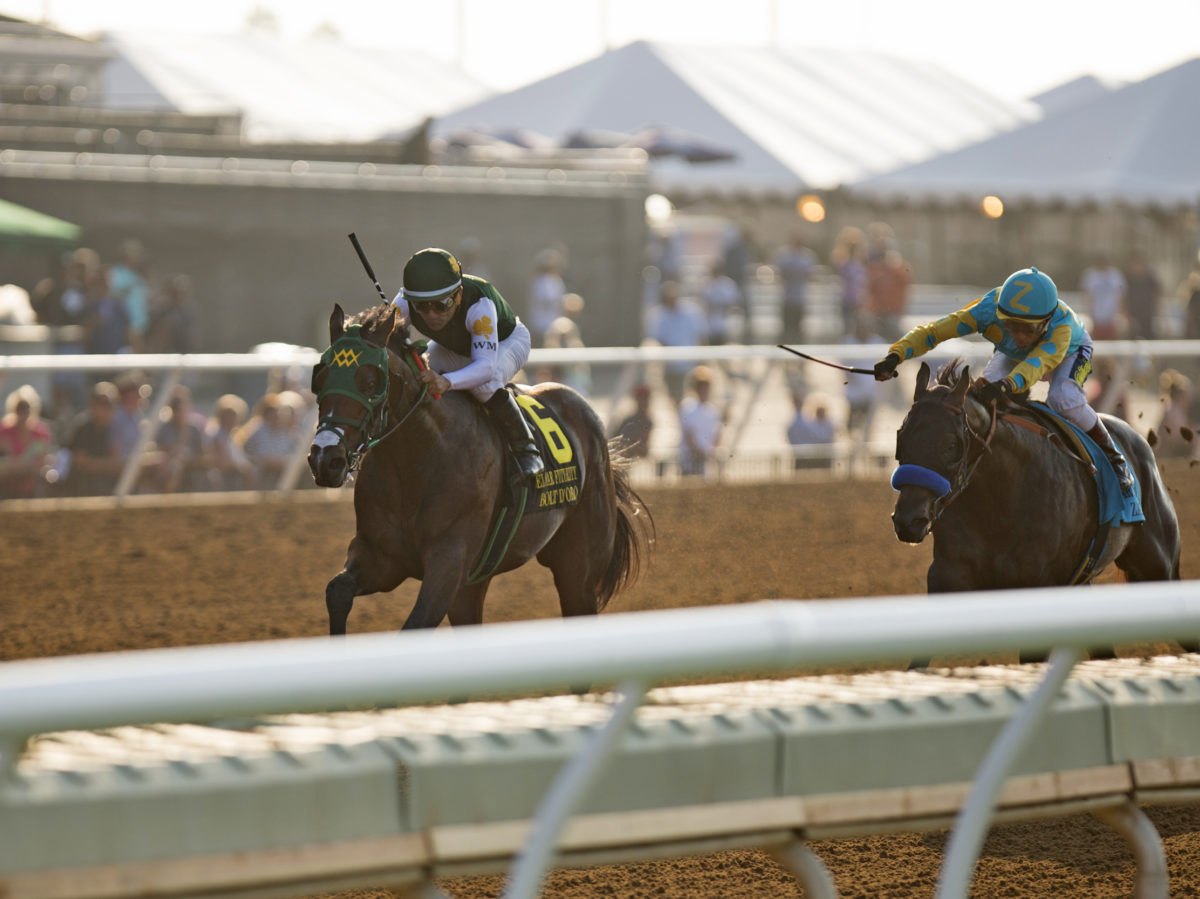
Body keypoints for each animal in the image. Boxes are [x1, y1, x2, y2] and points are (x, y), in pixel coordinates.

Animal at [304, 301, 652, 628]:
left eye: (371, 382)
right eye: (319, 376)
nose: (326, 458)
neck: (418, 461)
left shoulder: (450, 564)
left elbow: (415, 623)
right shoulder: (382, 557)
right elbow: (337, 592)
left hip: (577, 571)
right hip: (475, 583)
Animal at [892, 357, 1180, 657]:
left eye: (950, 444)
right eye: (901, 436)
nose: (909, 520)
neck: (997, 505)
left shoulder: (1037, 586)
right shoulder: (947, 577)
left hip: (1158, 568)